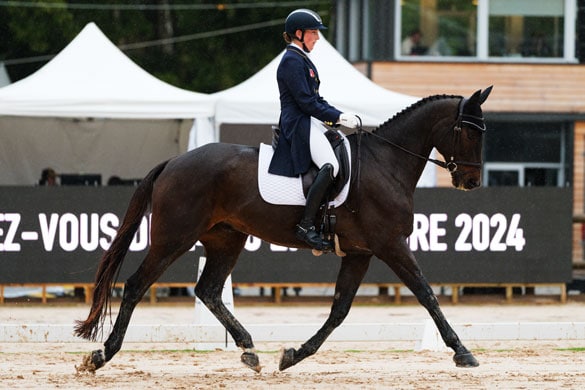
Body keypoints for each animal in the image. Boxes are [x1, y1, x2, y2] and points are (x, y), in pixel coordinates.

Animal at [74, 87, 492, 374]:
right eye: (468, 132)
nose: (471, 181)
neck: (385, 163)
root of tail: (173, 161)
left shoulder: (359, 252)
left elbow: (339, 309)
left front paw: (293, 355)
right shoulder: (391, 244)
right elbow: (426, 294)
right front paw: (463, 352)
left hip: (225, 239)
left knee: (209, 291)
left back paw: (248, 349)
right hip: (173, 237)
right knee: (135, 286)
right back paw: (101, 355)